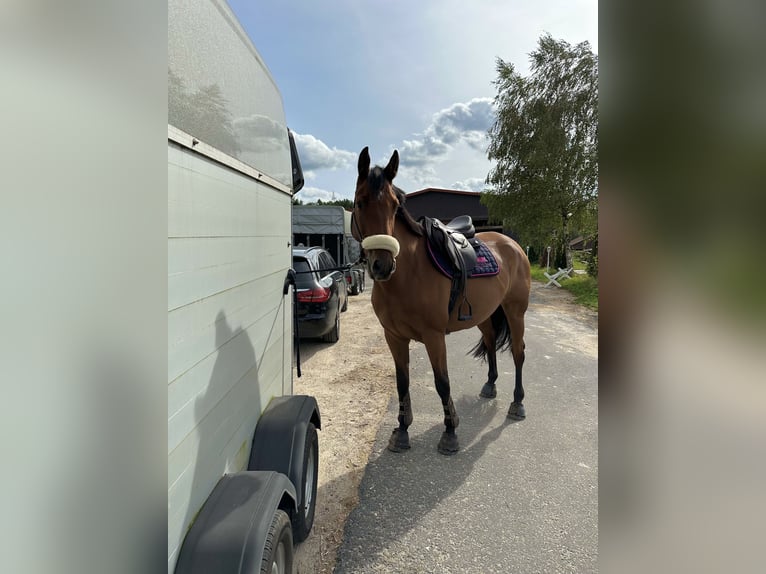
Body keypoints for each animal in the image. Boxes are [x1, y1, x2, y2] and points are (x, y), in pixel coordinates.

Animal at [351, 147, 531, 455]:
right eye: (360, 203)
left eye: (395, 207)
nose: (382, 266)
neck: (408, 275)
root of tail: (513, 245)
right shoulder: (394, 336)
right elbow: (402, 383)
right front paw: (402, 431)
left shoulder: (434, 336)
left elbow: (442, 383)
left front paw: (450, 433)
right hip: (485, 315)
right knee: (491, 344)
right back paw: (490, 385)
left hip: (515, 312)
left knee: (518, 353)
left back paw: (517, 403)